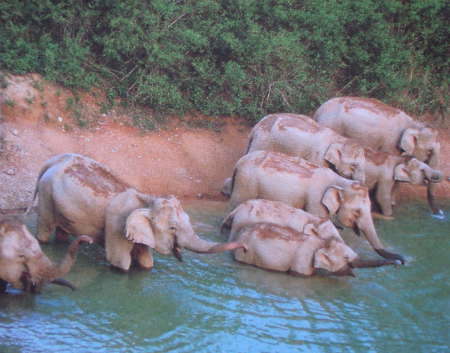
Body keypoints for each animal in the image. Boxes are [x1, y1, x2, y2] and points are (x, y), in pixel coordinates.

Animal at [105, 190, 246, 270]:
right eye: (172, 228)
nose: (245, 248)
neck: (148, 200)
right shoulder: (116, 227)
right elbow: (120, 262)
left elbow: (146, 260)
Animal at [229, 150, 404, 262]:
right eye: (357, 212)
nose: (401, 261)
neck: (340, 181)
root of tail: (239, 162)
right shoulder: (316, 200)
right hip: (246, 183)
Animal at [314, 96, 442, 216]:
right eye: (429, 151)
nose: (439, 214)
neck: (414, 124)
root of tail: (319, 110)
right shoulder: (390, 143)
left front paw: (392, 203)